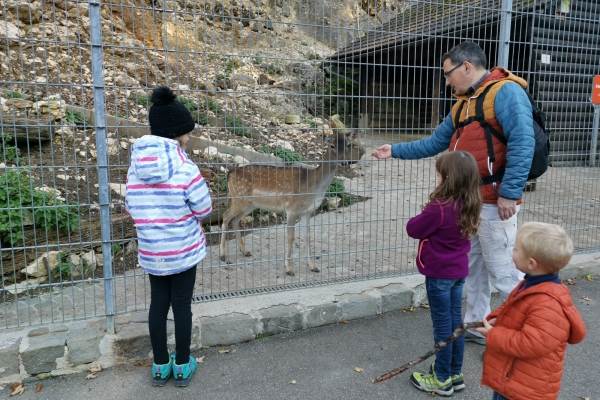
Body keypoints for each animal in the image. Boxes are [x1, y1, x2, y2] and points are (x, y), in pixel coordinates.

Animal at [219, 133, 364, 276]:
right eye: (332, 145)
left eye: (347, 145)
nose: (344, 162)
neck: (313, 186)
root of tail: (229, 173)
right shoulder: (291, 209)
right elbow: (291, 237)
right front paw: (289, 269)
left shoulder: (307, 211)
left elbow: (308, 236)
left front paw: (313, 266)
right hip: (239, 198)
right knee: (226, 216)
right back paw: (223, 255)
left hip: (250, 204)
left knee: (235, 219)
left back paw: (245, 251)